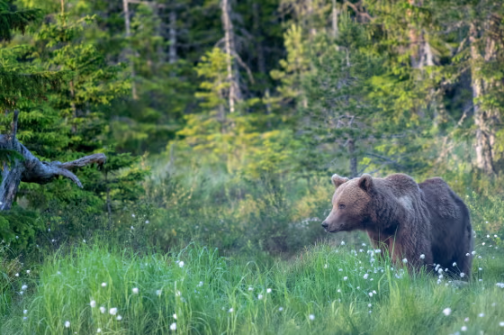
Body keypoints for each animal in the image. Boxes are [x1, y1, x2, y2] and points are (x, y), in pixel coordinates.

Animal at [322, 173, 472, 278]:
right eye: (333, 203)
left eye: (342, 205)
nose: (325, 224)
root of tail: (455, 196)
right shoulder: (378, 234)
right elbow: (383, 254)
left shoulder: (408, 227)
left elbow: (413, 255)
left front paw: (412, 275)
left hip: (456, 230)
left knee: (459, 257)